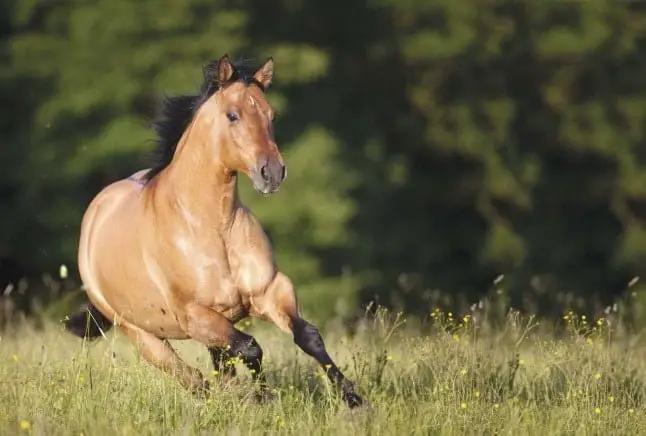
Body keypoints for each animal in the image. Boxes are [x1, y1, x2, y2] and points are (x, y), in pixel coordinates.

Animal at [65, 55, 364, 408]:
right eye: (232, 115)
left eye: (271, 114)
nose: (272, 173)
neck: (212, 227)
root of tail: (96, 212)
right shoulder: (195, 316)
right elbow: (251, 348)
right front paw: (265, 398)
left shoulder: (270, 290)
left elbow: (309, 336)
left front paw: (354, 399)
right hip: (143, 335)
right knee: (194, 379)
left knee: (218, 369)